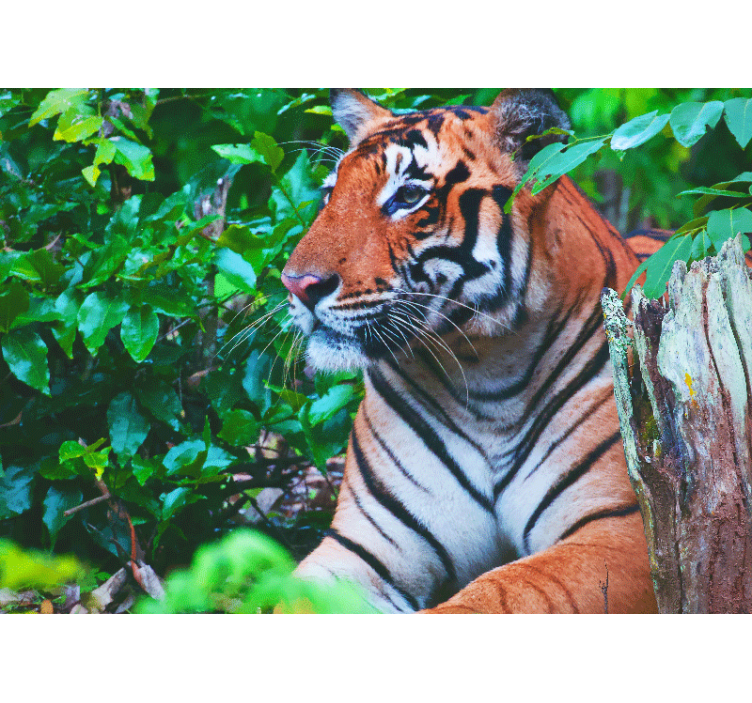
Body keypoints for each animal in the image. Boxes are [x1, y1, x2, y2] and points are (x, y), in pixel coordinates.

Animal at [280, 88, 658, 613]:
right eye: (328, 195)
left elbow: (498, 593)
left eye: (407, 197)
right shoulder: (363, 544)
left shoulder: (621, 531)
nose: (297, 284)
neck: (485, 375)